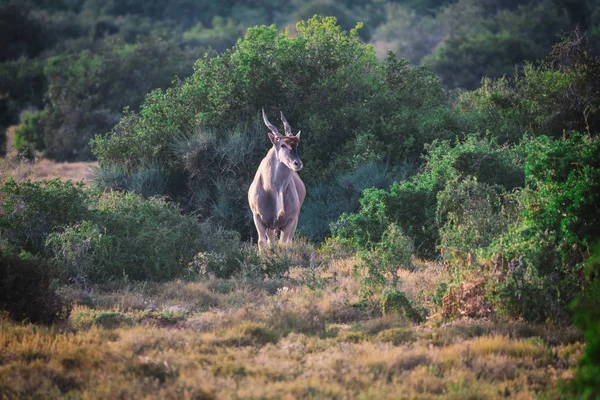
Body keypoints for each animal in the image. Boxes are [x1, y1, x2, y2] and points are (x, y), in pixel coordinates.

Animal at [247, 109, 304, 252]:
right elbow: (262, 242)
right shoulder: (259, 219)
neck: (273, 189)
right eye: (282, 145)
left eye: (296, 144)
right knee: (270, 242)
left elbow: (284, 244)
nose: (297, 163)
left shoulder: (290, 221)